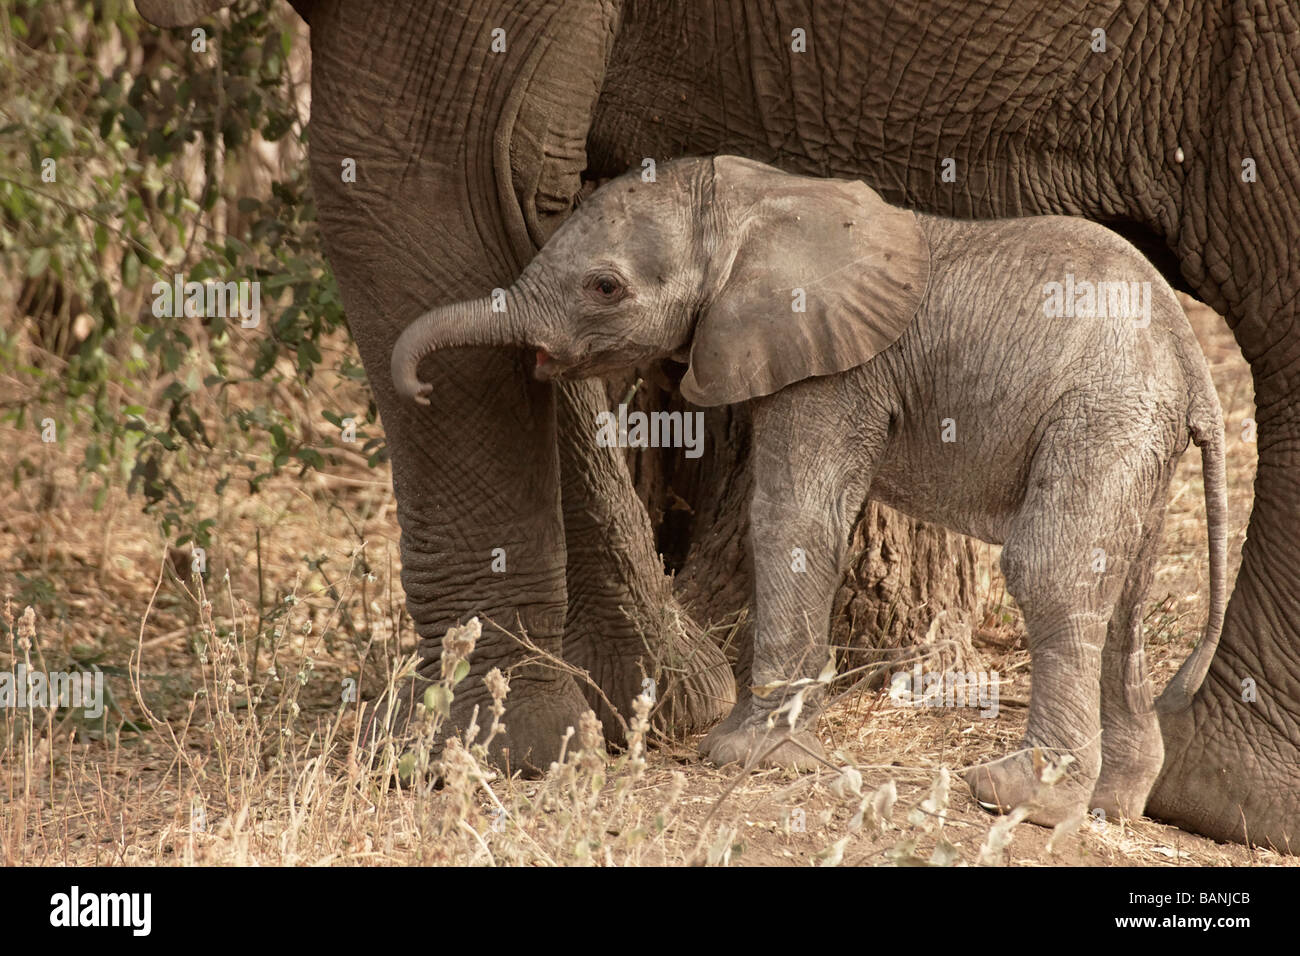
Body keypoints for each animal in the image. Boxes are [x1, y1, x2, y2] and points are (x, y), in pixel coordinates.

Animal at [390, 155, 1230, 825]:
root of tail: (1195, 367)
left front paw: (742, 756)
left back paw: (1015, 796)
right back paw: (1112, 806)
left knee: (1049, 570)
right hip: (1134, 435)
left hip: (1103, 411)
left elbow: (792, 519)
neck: (752, 203)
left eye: (605, 287)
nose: (419, 388)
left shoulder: (835, 370)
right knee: (1121, 594)